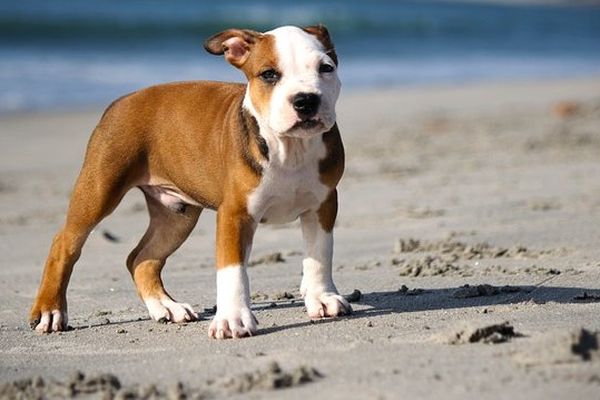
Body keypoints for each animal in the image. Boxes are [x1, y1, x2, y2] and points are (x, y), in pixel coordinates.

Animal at [29, 24, 352, 338]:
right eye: (269, 74)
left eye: (326, 68)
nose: (306, 99)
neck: (290, 149)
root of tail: (121, 101)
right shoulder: (235, 214)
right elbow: (233, 271)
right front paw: (233, 319)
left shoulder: (323, 205)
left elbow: (320, 254)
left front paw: (322, 297)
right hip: (99, 189)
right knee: (65, 243)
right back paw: (50, 311)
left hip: (176, 217)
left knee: (141, 259)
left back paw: (166, 307)